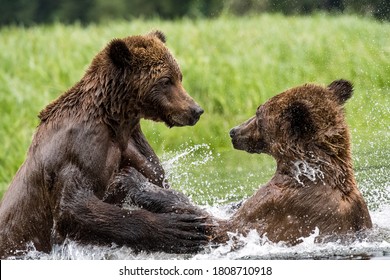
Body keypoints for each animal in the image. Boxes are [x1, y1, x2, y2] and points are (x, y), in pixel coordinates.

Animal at [0, 30, 209, 258]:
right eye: (165, 80)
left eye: (180, 76)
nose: (195, 110)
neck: (116, 121)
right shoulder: (79, 149)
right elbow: (74, 206)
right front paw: (178, 228)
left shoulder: (134, 145)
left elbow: (155, 180)